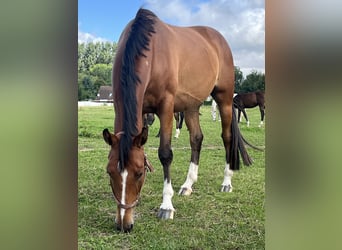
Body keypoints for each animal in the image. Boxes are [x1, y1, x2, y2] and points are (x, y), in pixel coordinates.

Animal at [103, 9, 252, 232]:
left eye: (139, 173)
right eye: (109, 172)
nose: (124, 224)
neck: (150, 50)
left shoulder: (166, 107)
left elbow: (165, 154)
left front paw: (166, 206)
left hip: (224, 100)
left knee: (227, 138)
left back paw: (226, 182)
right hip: (191, 106)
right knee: (196, 139)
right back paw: (187, 185)